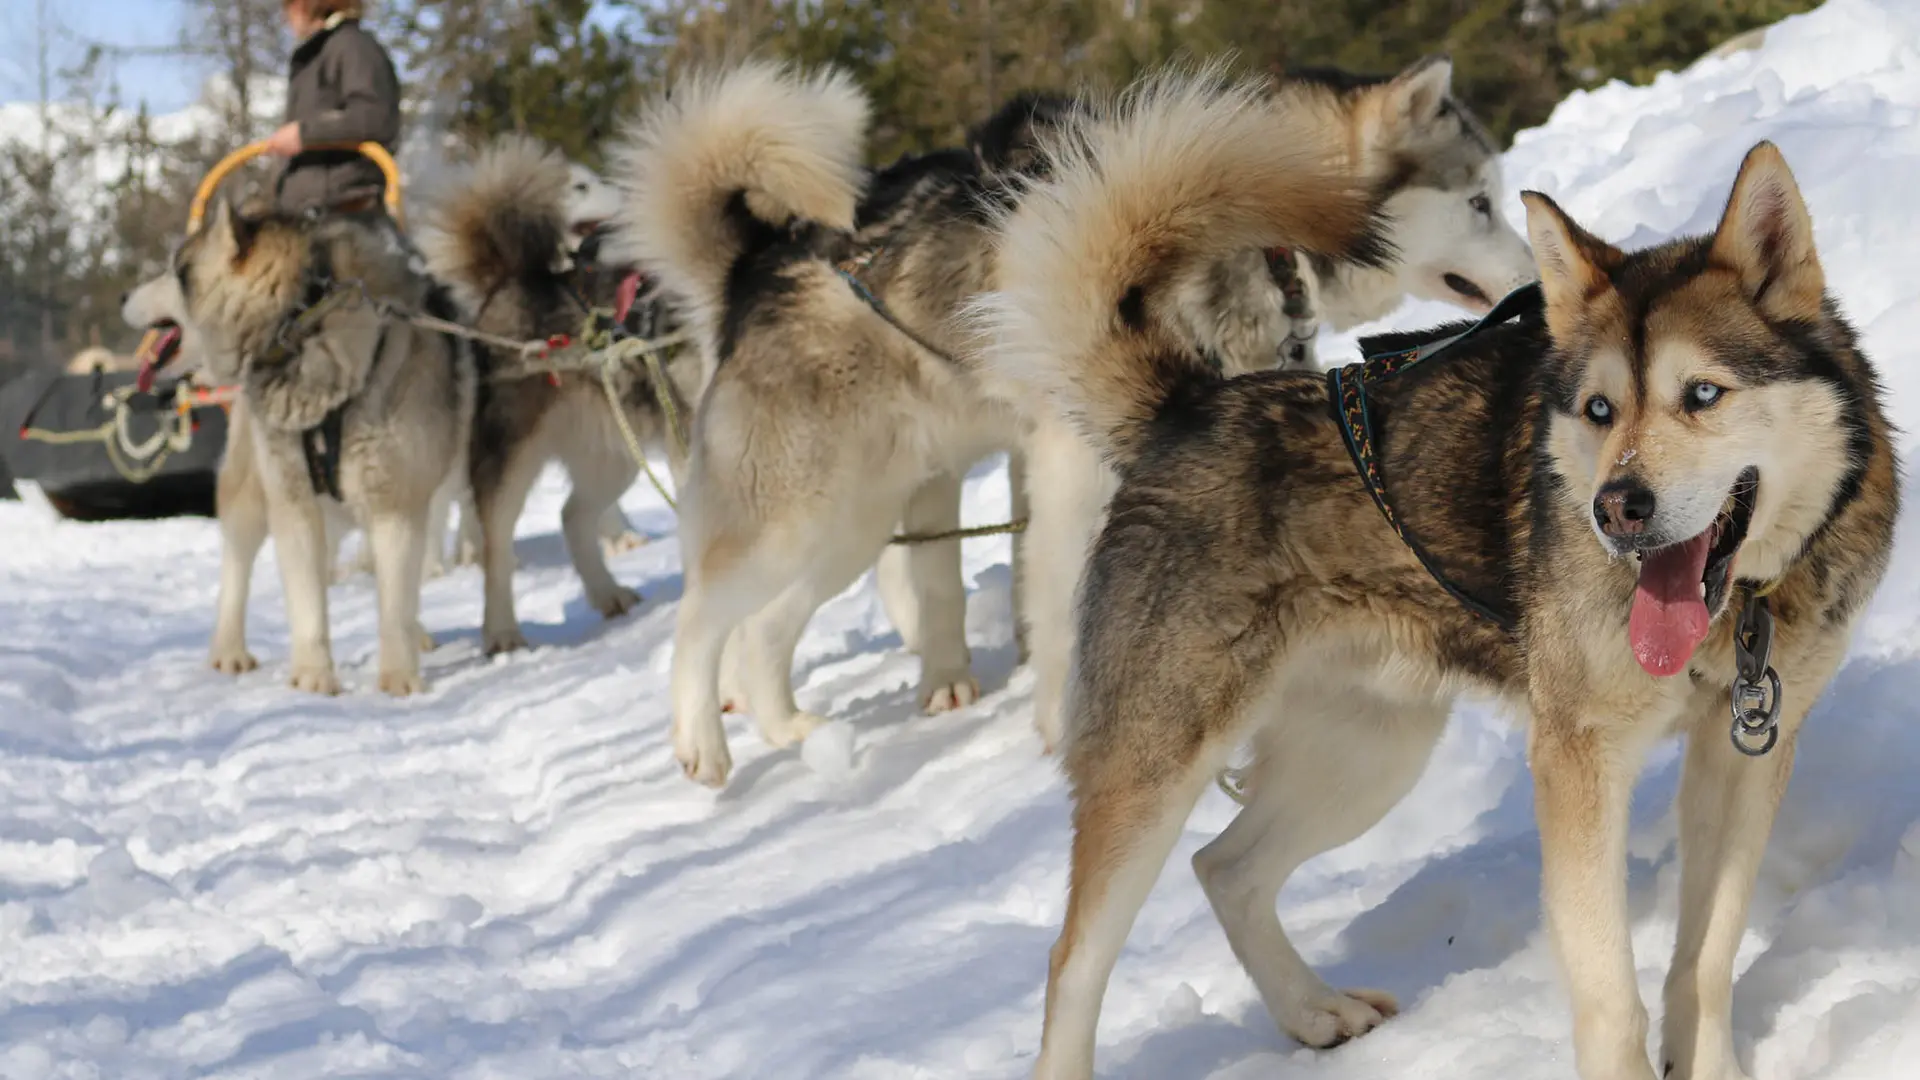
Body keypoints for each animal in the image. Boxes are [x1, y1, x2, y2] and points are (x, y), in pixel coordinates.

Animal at [125, 205, 478, 691]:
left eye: (177, 271)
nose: (124, 292)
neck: (302, 319)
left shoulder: (396, 502)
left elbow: (395, 601)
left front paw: (399, 677)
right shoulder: (294, 503)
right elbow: (308, 604)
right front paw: (314, 678)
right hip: (251, 493)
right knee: (237, 566)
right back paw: (228, 650)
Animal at [416, 137, 702, 653]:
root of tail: (511, 279)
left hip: (612, 456)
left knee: (572, 516)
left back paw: (607, 592)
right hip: (510, 459)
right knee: (495, 547)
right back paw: (502, 633)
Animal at [983, 73, 1896, 1076]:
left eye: (1702, 395)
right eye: (1598, 408)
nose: (1615, 508)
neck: (1741, 609)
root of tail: (1190, 405)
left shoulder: (1745, 754)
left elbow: (1705, 959)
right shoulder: (1579, 762)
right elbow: (1609, 994)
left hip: (1370, 756)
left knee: (1224, 870)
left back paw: (1315, 1012)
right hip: (1158, 767)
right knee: (1075, 963)